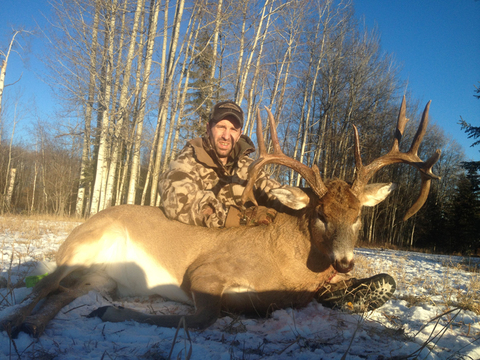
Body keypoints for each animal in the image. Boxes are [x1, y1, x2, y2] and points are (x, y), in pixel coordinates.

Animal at [0, 96, 440, 338]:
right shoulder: (203, 272)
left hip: (102, 277)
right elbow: (200, 319)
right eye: (320, 213)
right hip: (84, 246)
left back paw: (34, 326)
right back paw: (17, 324)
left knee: (62, 293)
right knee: (42, 289)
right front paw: (109, 314)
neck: (288, 263)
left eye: (358, 215)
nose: (346, 262)